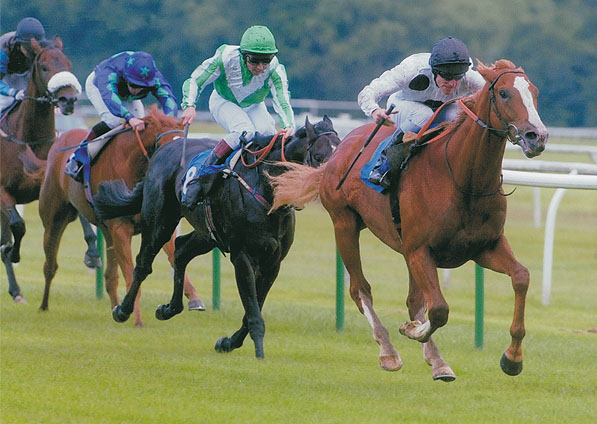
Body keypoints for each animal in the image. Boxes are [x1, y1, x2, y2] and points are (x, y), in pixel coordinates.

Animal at [0, 35, 95, 302]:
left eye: (68, 63)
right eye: (44, 67)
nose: (68, 100)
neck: (31, 141)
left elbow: (84, 217)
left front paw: (92, 254)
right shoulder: (2, 193)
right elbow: (19, 226)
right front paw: (13, 252)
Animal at [28, 107, 205, 328]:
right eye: (165, 147)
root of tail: (59, 141)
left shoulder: (157, 226)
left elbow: (174, 256)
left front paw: (194, 299)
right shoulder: (121, 228)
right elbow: (131, 273)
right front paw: (136, 317)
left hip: (105, 231)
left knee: (110, 276)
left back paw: (114, 306)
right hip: (54, 219)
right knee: (50, 265)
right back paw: (43, 306)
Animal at [91, 116, 338, 358]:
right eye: (318, 156)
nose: (331, 186)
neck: (265, 192)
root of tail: (163, 150)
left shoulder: (273, 262)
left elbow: (254, 307)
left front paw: (228, 343)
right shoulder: (242, 256)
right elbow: (253, 310)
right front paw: (259, 352)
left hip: (208, 235)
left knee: (180, 251)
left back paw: (169, 308)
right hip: (159, 221)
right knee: (144, 264)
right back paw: (123, 310)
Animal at [268, 60, 548, 380]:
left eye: (535, 92)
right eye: (503, 93)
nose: (537, 136)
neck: (463, 178)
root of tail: (339, 149)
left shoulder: (483, 247)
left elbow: (521, 277)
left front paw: (513, 357)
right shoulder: (420, 250)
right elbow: (438, 308)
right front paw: (412, 330)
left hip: (402, 246)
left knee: (413, 299)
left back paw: (437, 361)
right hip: (344, 223)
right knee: (360, 289)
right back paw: (388, 351)